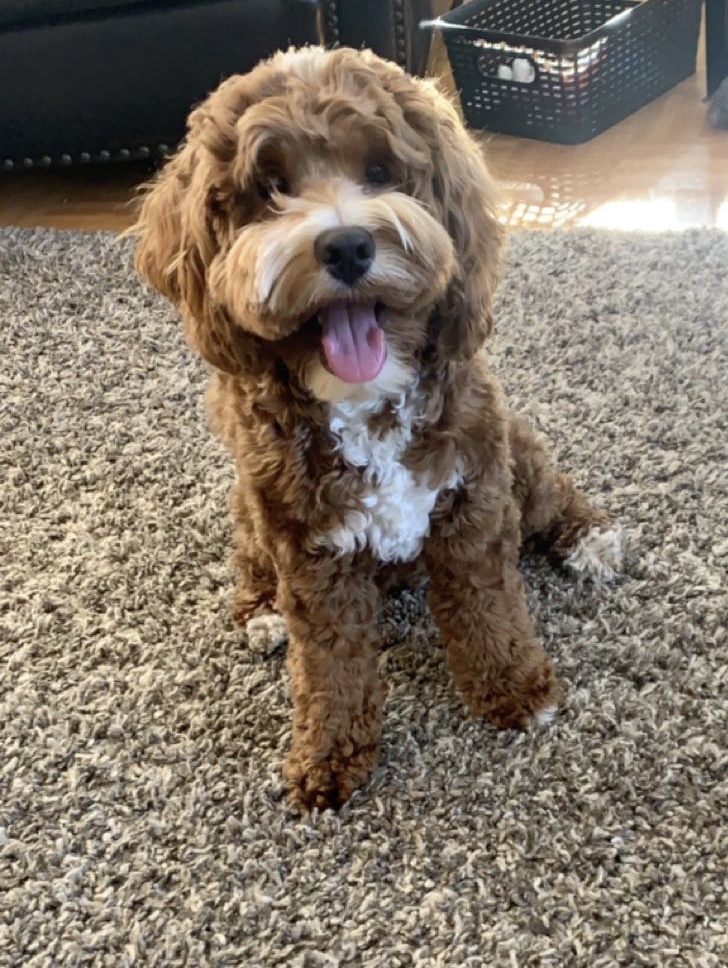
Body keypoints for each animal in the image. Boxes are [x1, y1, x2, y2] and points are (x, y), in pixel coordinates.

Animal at [132, 45, 621, 811]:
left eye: (382, 170)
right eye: (270, 188)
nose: (346, 245)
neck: (367, 398)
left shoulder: (474, 498)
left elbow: (490, 606)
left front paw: (517, 687)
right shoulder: (309, 548)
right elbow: (331, 664)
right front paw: (329, 754)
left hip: (514, 447)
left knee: (550, 487)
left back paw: (589, 537)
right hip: (248, 505)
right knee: (249, 562)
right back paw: (261, 613)